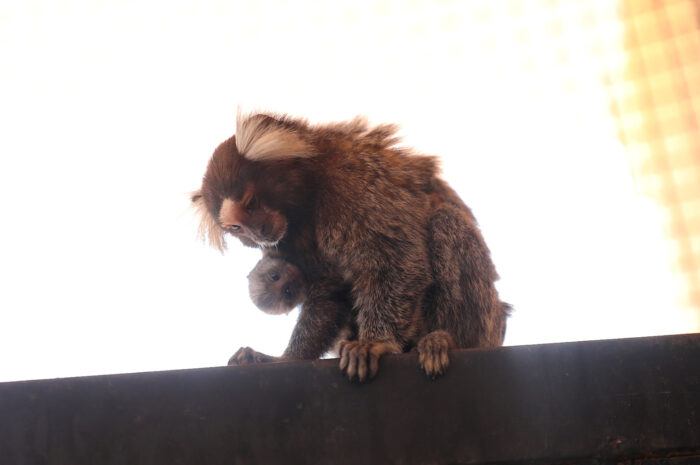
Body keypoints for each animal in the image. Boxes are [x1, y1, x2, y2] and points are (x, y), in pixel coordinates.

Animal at [191, 113, 508, 380]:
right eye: (236, 227)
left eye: (252, 203)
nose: (258, 234)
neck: (307, 201)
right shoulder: (287, 244)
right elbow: (328, 293)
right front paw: (287, 358)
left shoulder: (352, 182)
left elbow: (396, 258)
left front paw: (375, 342)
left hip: (486, 324)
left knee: (445, 222)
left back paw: (443, 339)